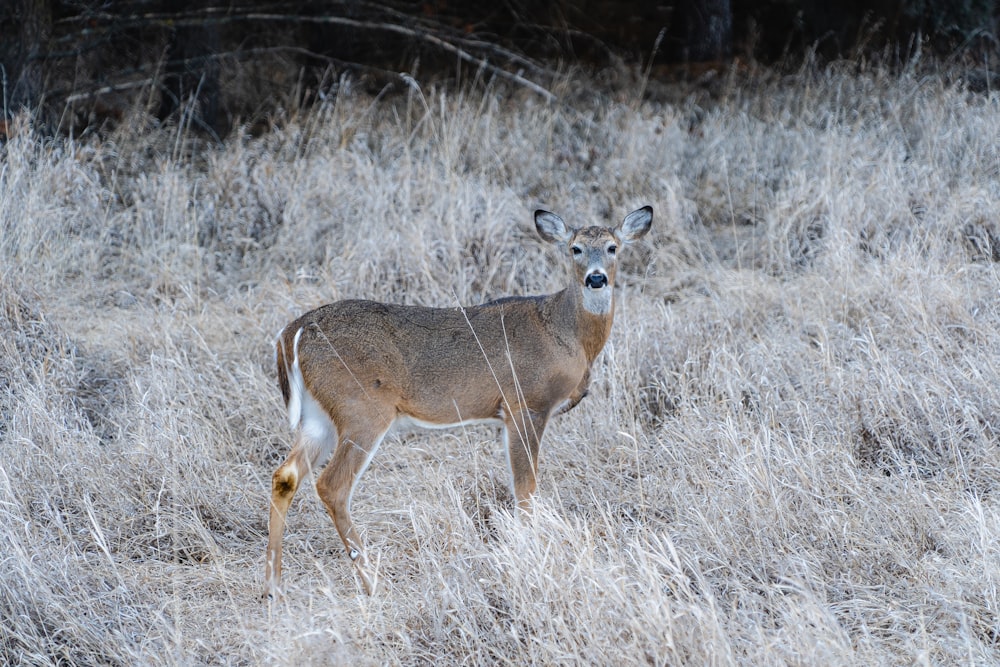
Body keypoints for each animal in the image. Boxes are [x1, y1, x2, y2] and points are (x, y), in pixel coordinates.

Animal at [268, 205, 656, 596]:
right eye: (575, 248)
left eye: (612, 247)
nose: (596, 279)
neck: (566, 333)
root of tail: (295, 331)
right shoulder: (526, 403)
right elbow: (526, 488)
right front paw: (531, 551)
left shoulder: (508, 414)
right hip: (362, 408)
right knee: (332, 485)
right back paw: (370, 581)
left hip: (319, 416)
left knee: (285, 475)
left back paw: (274, 583)